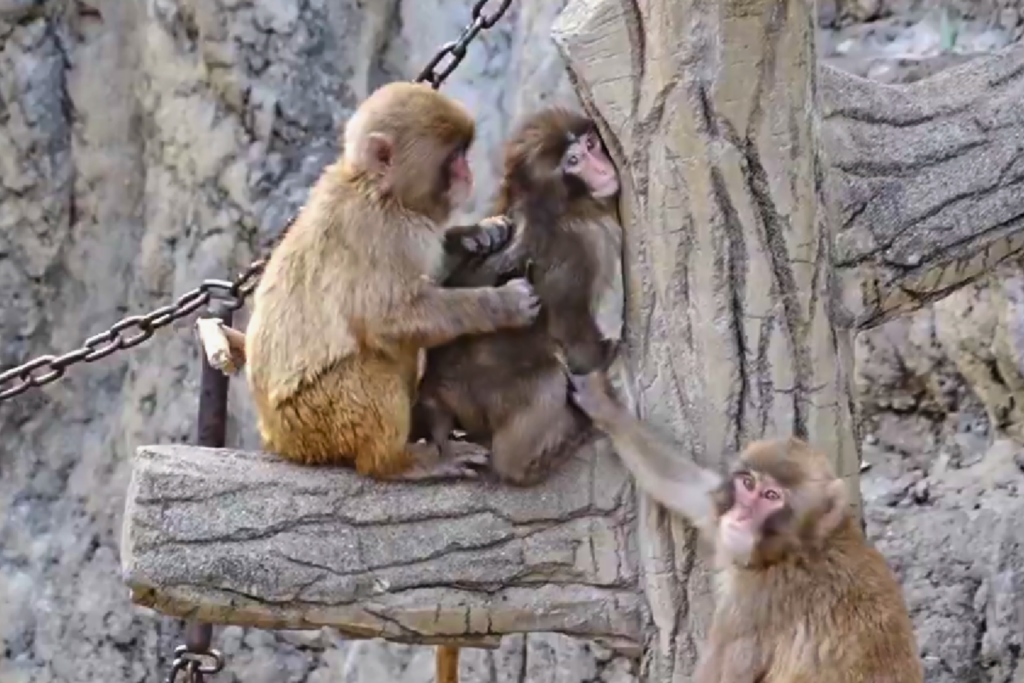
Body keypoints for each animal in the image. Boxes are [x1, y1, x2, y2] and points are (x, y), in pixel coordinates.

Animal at [242, 81, 543, 482]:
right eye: (454, 157)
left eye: (463, 153)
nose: (467, 172)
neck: (375, 189)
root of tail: (276, 438)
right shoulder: (383, 232)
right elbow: (387, 318)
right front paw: (503, 305)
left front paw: (474, 235)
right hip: (316, 419)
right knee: (375, 371)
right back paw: (401, 462)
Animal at [413, 106, 625, 487]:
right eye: (573, 160)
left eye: (591, 144)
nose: (603, 168)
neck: (565, 206)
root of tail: (434, 392)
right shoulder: (577, 248)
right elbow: (571, 329)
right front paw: (603, 361)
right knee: (546, 377)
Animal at [564, 371, 924, 683]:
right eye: (748, 484)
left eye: (771, 496)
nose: (740, 515)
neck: (799, 548)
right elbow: (698, 496)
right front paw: (604, 406)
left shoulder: (757, 602)